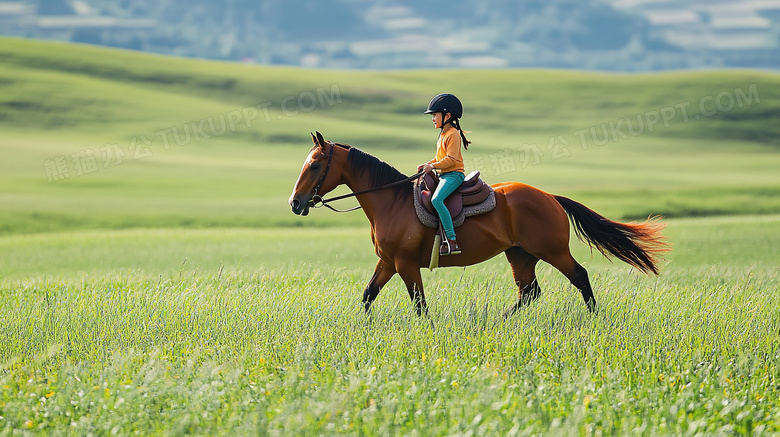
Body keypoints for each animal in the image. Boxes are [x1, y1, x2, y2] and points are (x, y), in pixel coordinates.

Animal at [290, 131, 668, 316]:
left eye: (314, 165)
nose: (295, 203)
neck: (391, 201)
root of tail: (550, 197)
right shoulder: (387, 262)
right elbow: (367, 296)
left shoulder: (405, 265)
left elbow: (419, 306)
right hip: (520, 255)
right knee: (529, 292)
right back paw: (502, 322)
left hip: (552, 251)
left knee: (579, 277)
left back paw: (593, 320)